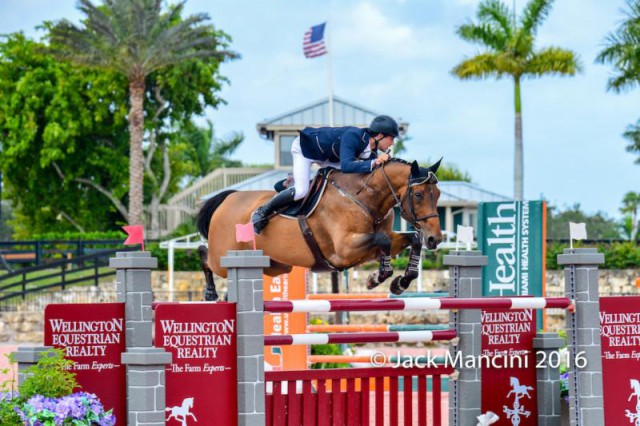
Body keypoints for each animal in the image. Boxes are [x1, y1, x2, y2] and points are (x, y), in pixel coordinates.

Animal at [198, 158, 442, 302]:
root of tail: (227, 199)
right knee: (205, 255)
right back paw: (210, 292)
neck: (365, 198)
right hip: (223, 259)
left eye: (438, 194)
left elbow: (410, 240)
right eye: (418, 195)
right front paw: (375, 278)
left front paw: (400, 282)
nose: (435, 239)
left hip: (275, 266)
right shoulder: (344, 251)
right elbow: (383, 241)